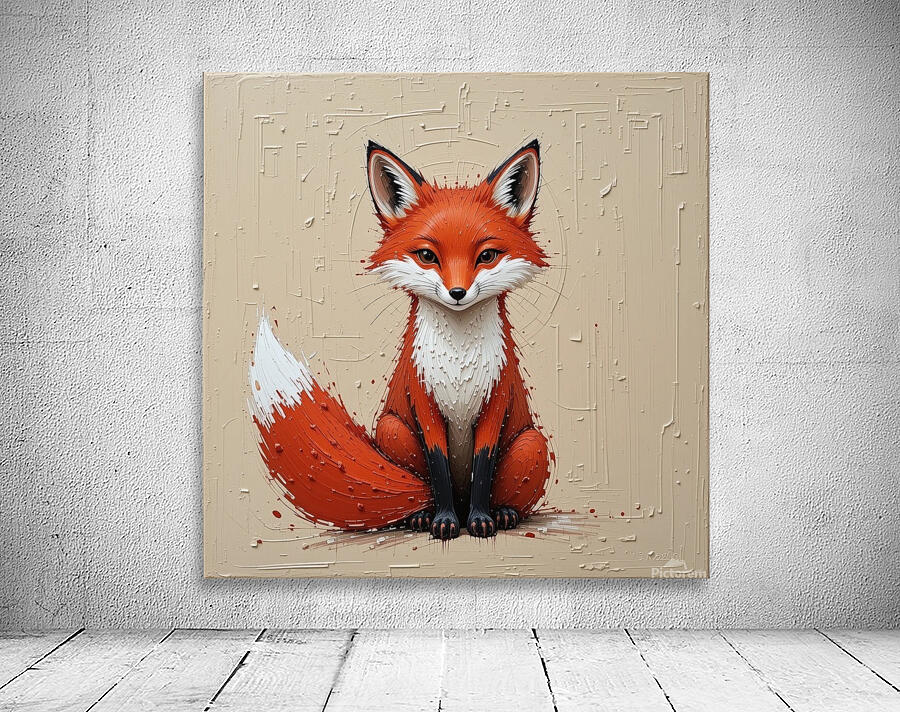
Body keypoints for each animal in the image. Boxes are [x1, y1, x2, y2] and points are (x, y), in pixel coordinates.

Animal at [249, 140, 551, 540]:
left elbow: (483, 467)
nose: (457, 293)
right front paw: (443, 522)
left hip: (532, 444)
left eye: (487, 256)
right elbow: (438, 465)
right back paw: (422, 515)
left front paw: (481, 520)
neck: (460, 361)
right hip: (391, 429)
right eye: (427, 255)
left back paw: (502, 513)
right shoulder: (422, 398)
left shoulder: (496, 399)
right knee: (421, 488)